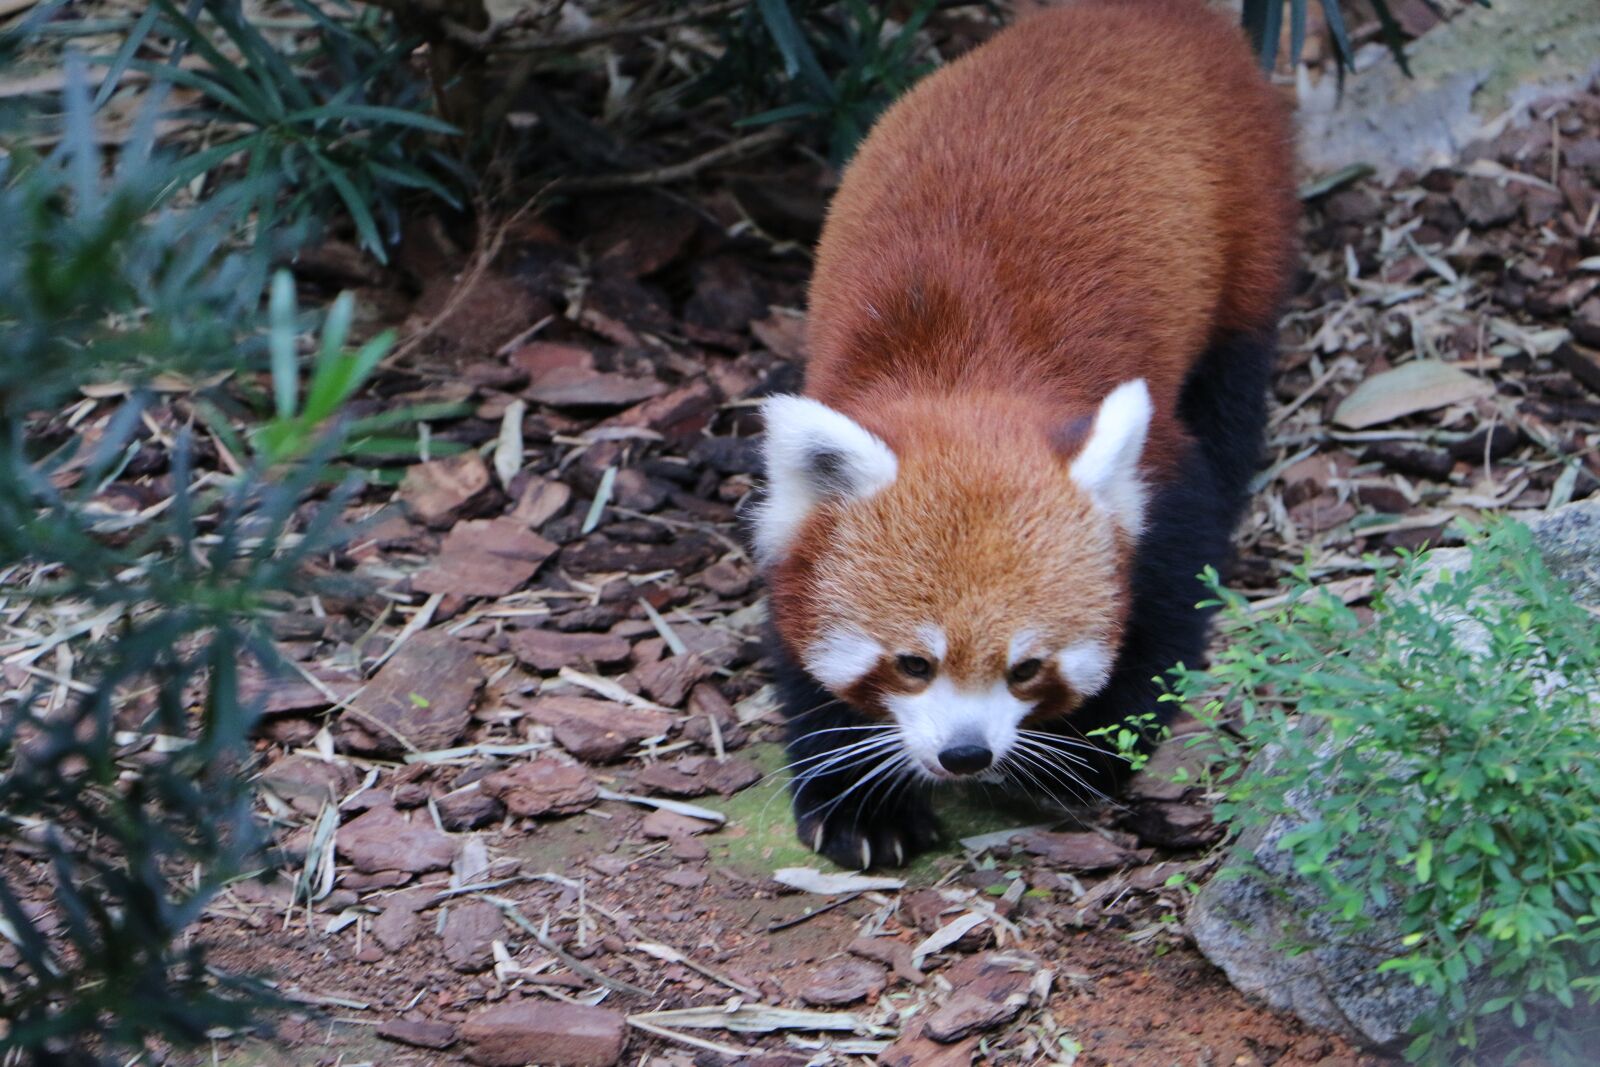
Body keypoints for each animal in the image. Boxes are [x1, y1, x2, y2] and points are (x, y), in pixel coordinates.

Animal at [750, 0, 1298, 870]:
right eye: (913, 663)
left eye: (1028, 667)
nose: (965, 754)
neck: (964, 379)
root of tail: (1155, 14)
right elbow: (800, 657)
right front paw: (858, 801)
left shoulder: (1161, 481)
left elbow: (1173, 593)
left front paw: (1086, 753)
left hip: (1251, 220)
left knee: (1233, 395)